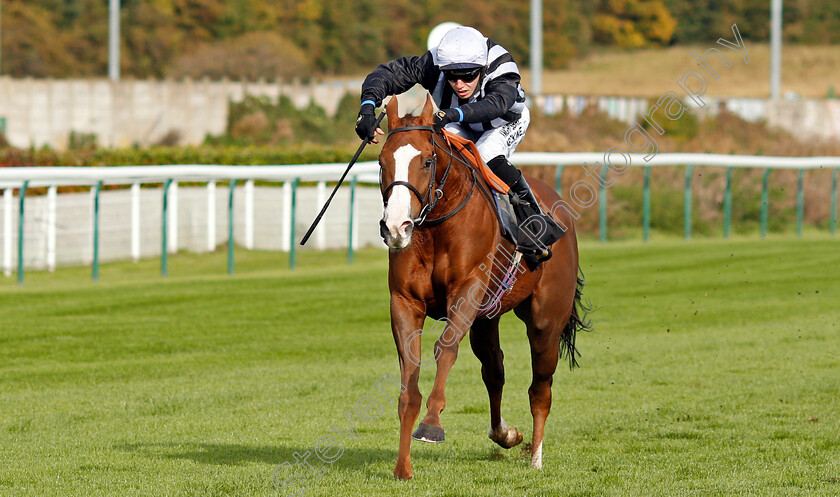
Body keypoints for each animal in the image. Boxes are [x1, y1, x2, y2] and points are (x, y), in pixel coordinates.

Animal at [378, 95, 588, 478]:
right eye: (382, 161)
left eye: (427, 161)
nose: (396, 227)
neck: (435, 226)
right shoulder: (404, 301)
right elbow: (409, 377)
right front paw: (403, 467)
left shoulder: (468, 290)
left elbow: (445, 349)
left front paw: (431, 425)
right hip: (486, 319)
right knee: (494, 370)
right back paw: (505, 434)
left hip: (546, 322)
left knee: (541, 389)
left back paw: (535, 457)